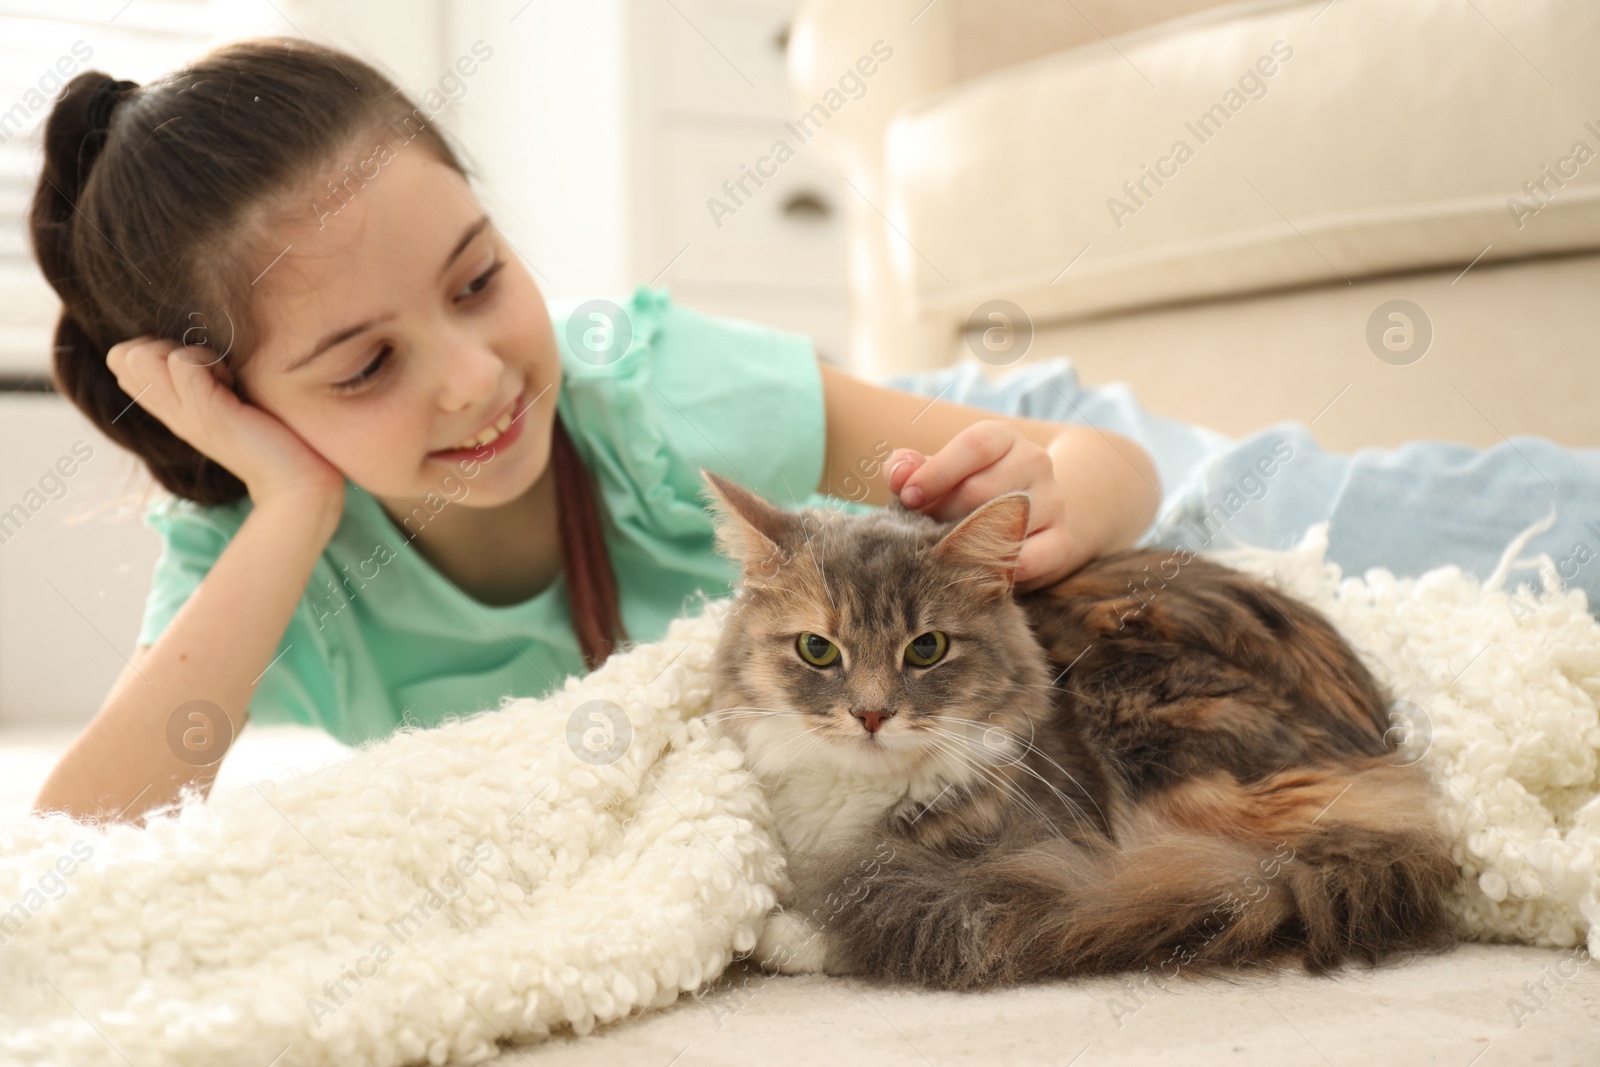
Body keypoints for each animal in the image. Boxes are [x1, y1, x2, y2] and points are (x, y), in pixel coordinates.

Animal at [700, 470, 1465, 991]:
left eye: (927, 649)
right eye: (817, 650)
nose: (871, 714)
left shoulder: (1020, 852)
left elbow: (909, 904)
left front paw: (784, 933)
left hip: (1145, 720)